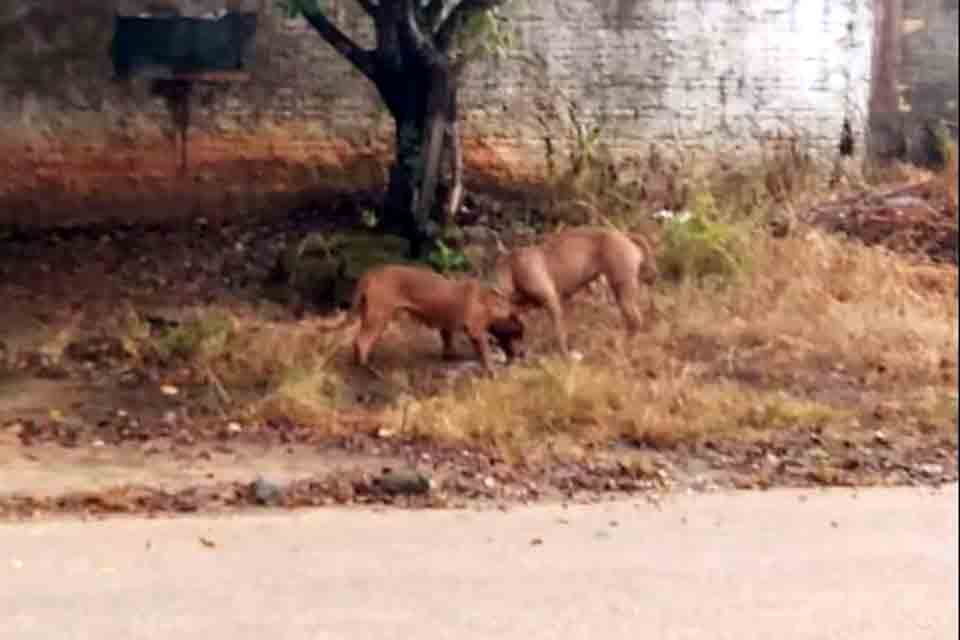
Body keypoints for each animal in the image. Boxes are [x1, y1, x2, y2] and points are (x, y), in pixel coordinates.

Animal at [316, 262, 524, 372]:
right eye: (519, 335)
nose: (523, 354)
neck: (492, 304)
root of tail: (372, 272)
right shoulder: (476, 332)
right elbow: (485, 353)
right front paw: (491, 369)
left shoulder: (447, 325)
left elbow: (448, 342)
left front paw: (451, 356)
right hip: (379, 316)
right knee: (362, 341)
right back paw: (367, 367)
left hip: (369, 313)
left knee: (362, 341)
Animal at [492, 226, 656, 358]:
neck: (512, 268)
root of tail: (624, 235)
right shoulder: (524, 308)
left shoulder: (552, 301)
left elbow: (559, 332)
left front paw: (564, 355)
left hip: (622, 289)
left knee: (634, 320)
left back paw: (622, 348)